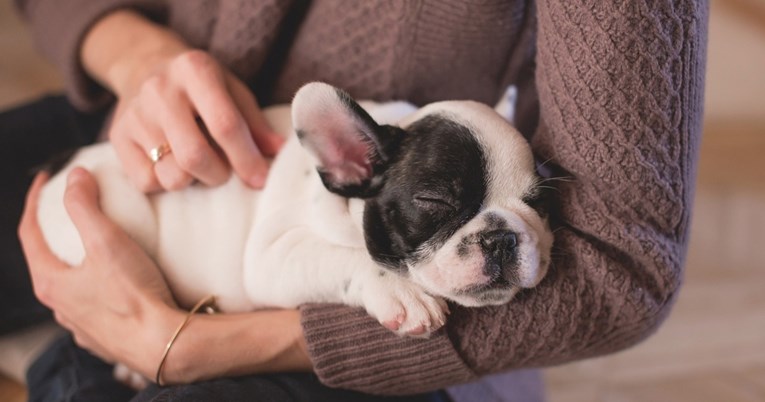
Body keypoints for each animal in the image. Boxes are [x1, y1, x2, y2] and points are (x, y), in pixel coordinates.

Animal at [35, 81, 552, 340]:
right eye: (435, 201)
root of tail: (60, 166)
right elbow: (345, 257)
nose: (502, 237)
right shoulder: (271, 256)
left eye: (538, 203)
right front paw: (402, 293)